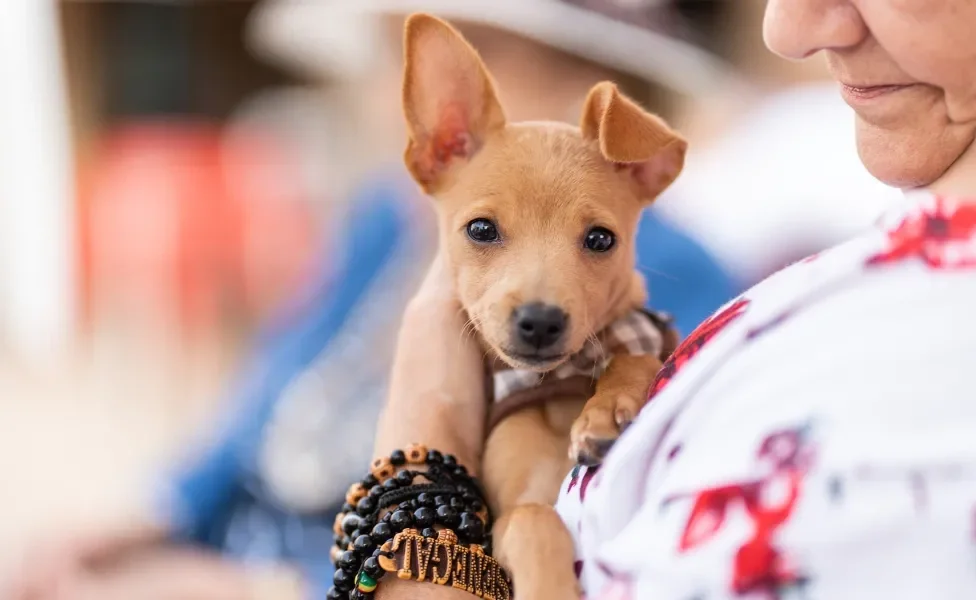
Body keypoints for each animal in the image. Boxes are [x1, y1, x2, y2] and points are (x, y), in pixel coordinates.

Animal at [396, 12, 688, 600]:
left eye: (600, 239)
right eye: (480, 230)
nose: (540, 322)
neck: (562, 383)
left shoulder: (632, 336)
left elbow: (632, 351)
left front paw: (607, 409)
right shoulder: (512, 510)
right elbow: (534, 519)